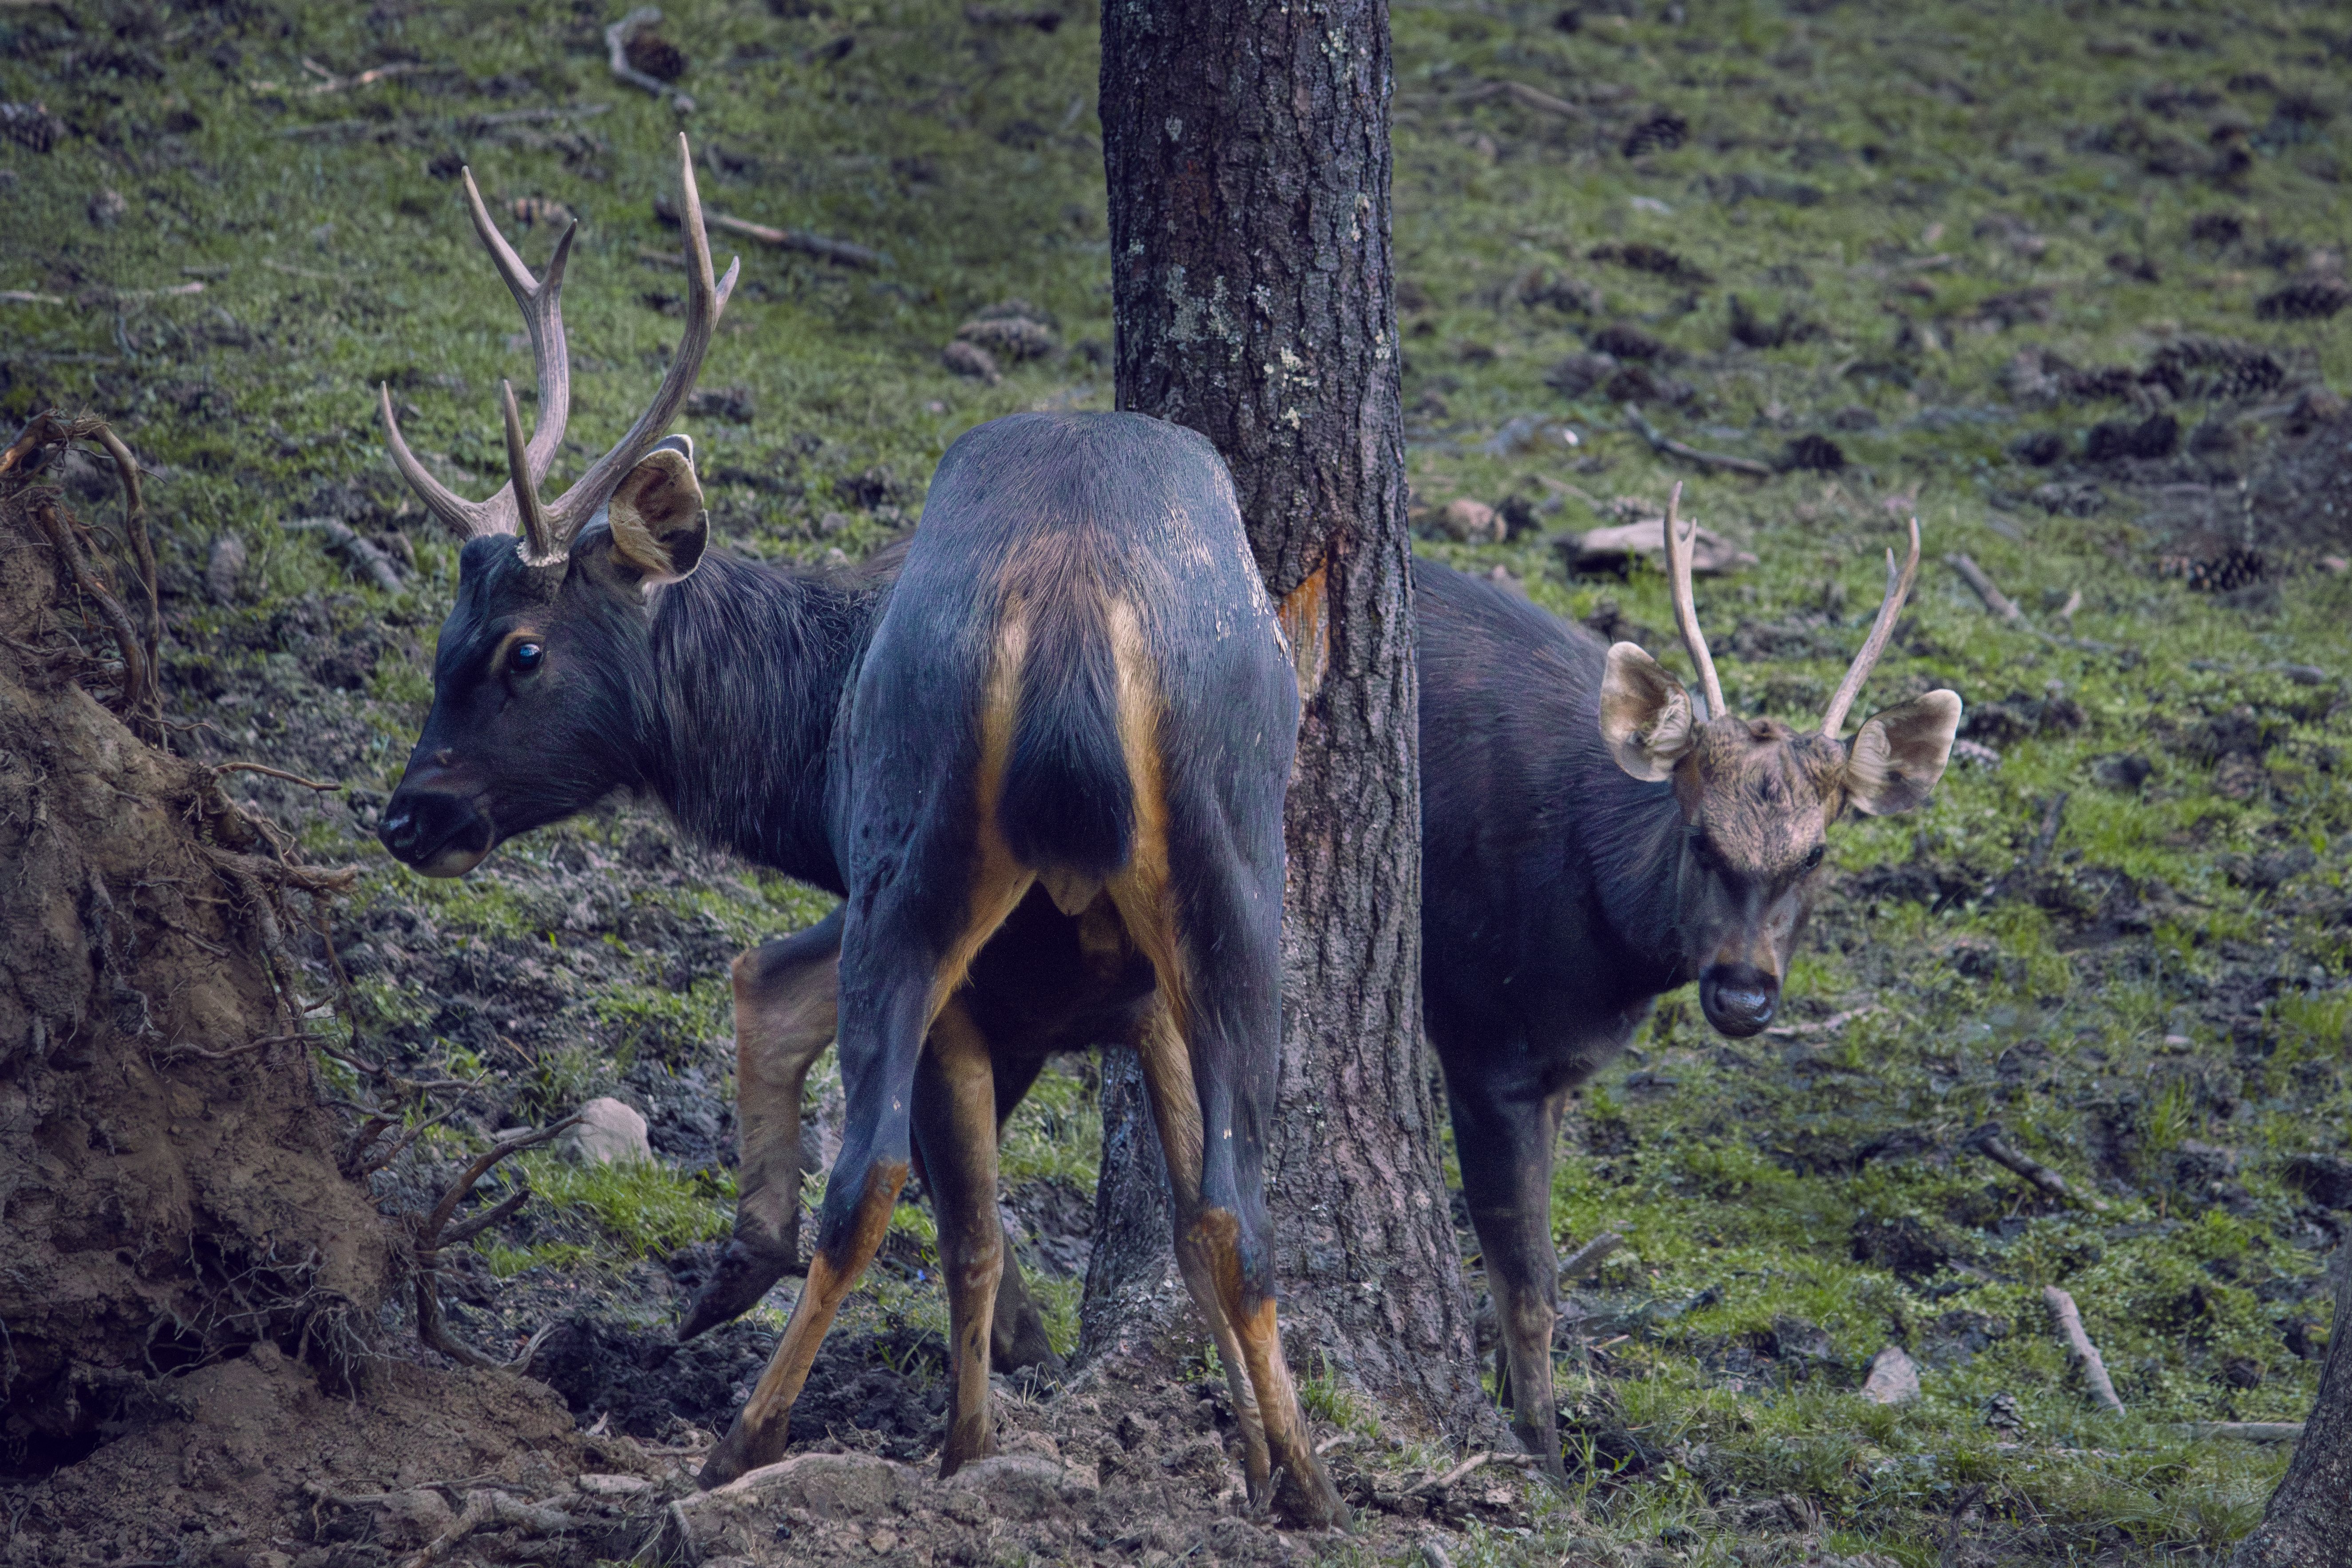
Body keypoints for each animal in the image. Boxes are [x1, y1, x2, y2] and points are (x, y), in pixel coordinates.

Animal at [369, 136, 1345, 1523]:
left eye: (520, 650)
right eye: (441, 640)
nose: (412, 812)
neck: (805, 740)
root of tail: (1074, 605)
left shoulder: (895, 895)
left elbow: (784, 1005)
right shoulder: (1135, 993)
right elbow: (1166, 1214)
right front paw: (1246, 1452)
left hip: (923, 863)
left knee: (879, 1176)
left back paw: (751, 1441)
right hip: (1233, 880)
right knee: (1236, 1209)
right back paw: (1307, 1486)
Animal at [676, 487, 1960, 1487]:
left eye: (1817, 852)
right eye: (1702, 834)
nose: (1744, 990)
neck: (1597, 921)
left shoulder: (1553, 1063)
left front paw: (1527, 1419)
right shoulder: (1484, 1030)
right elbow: (1526, 1269)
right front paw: (1542, 1453)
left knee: (801, 987)